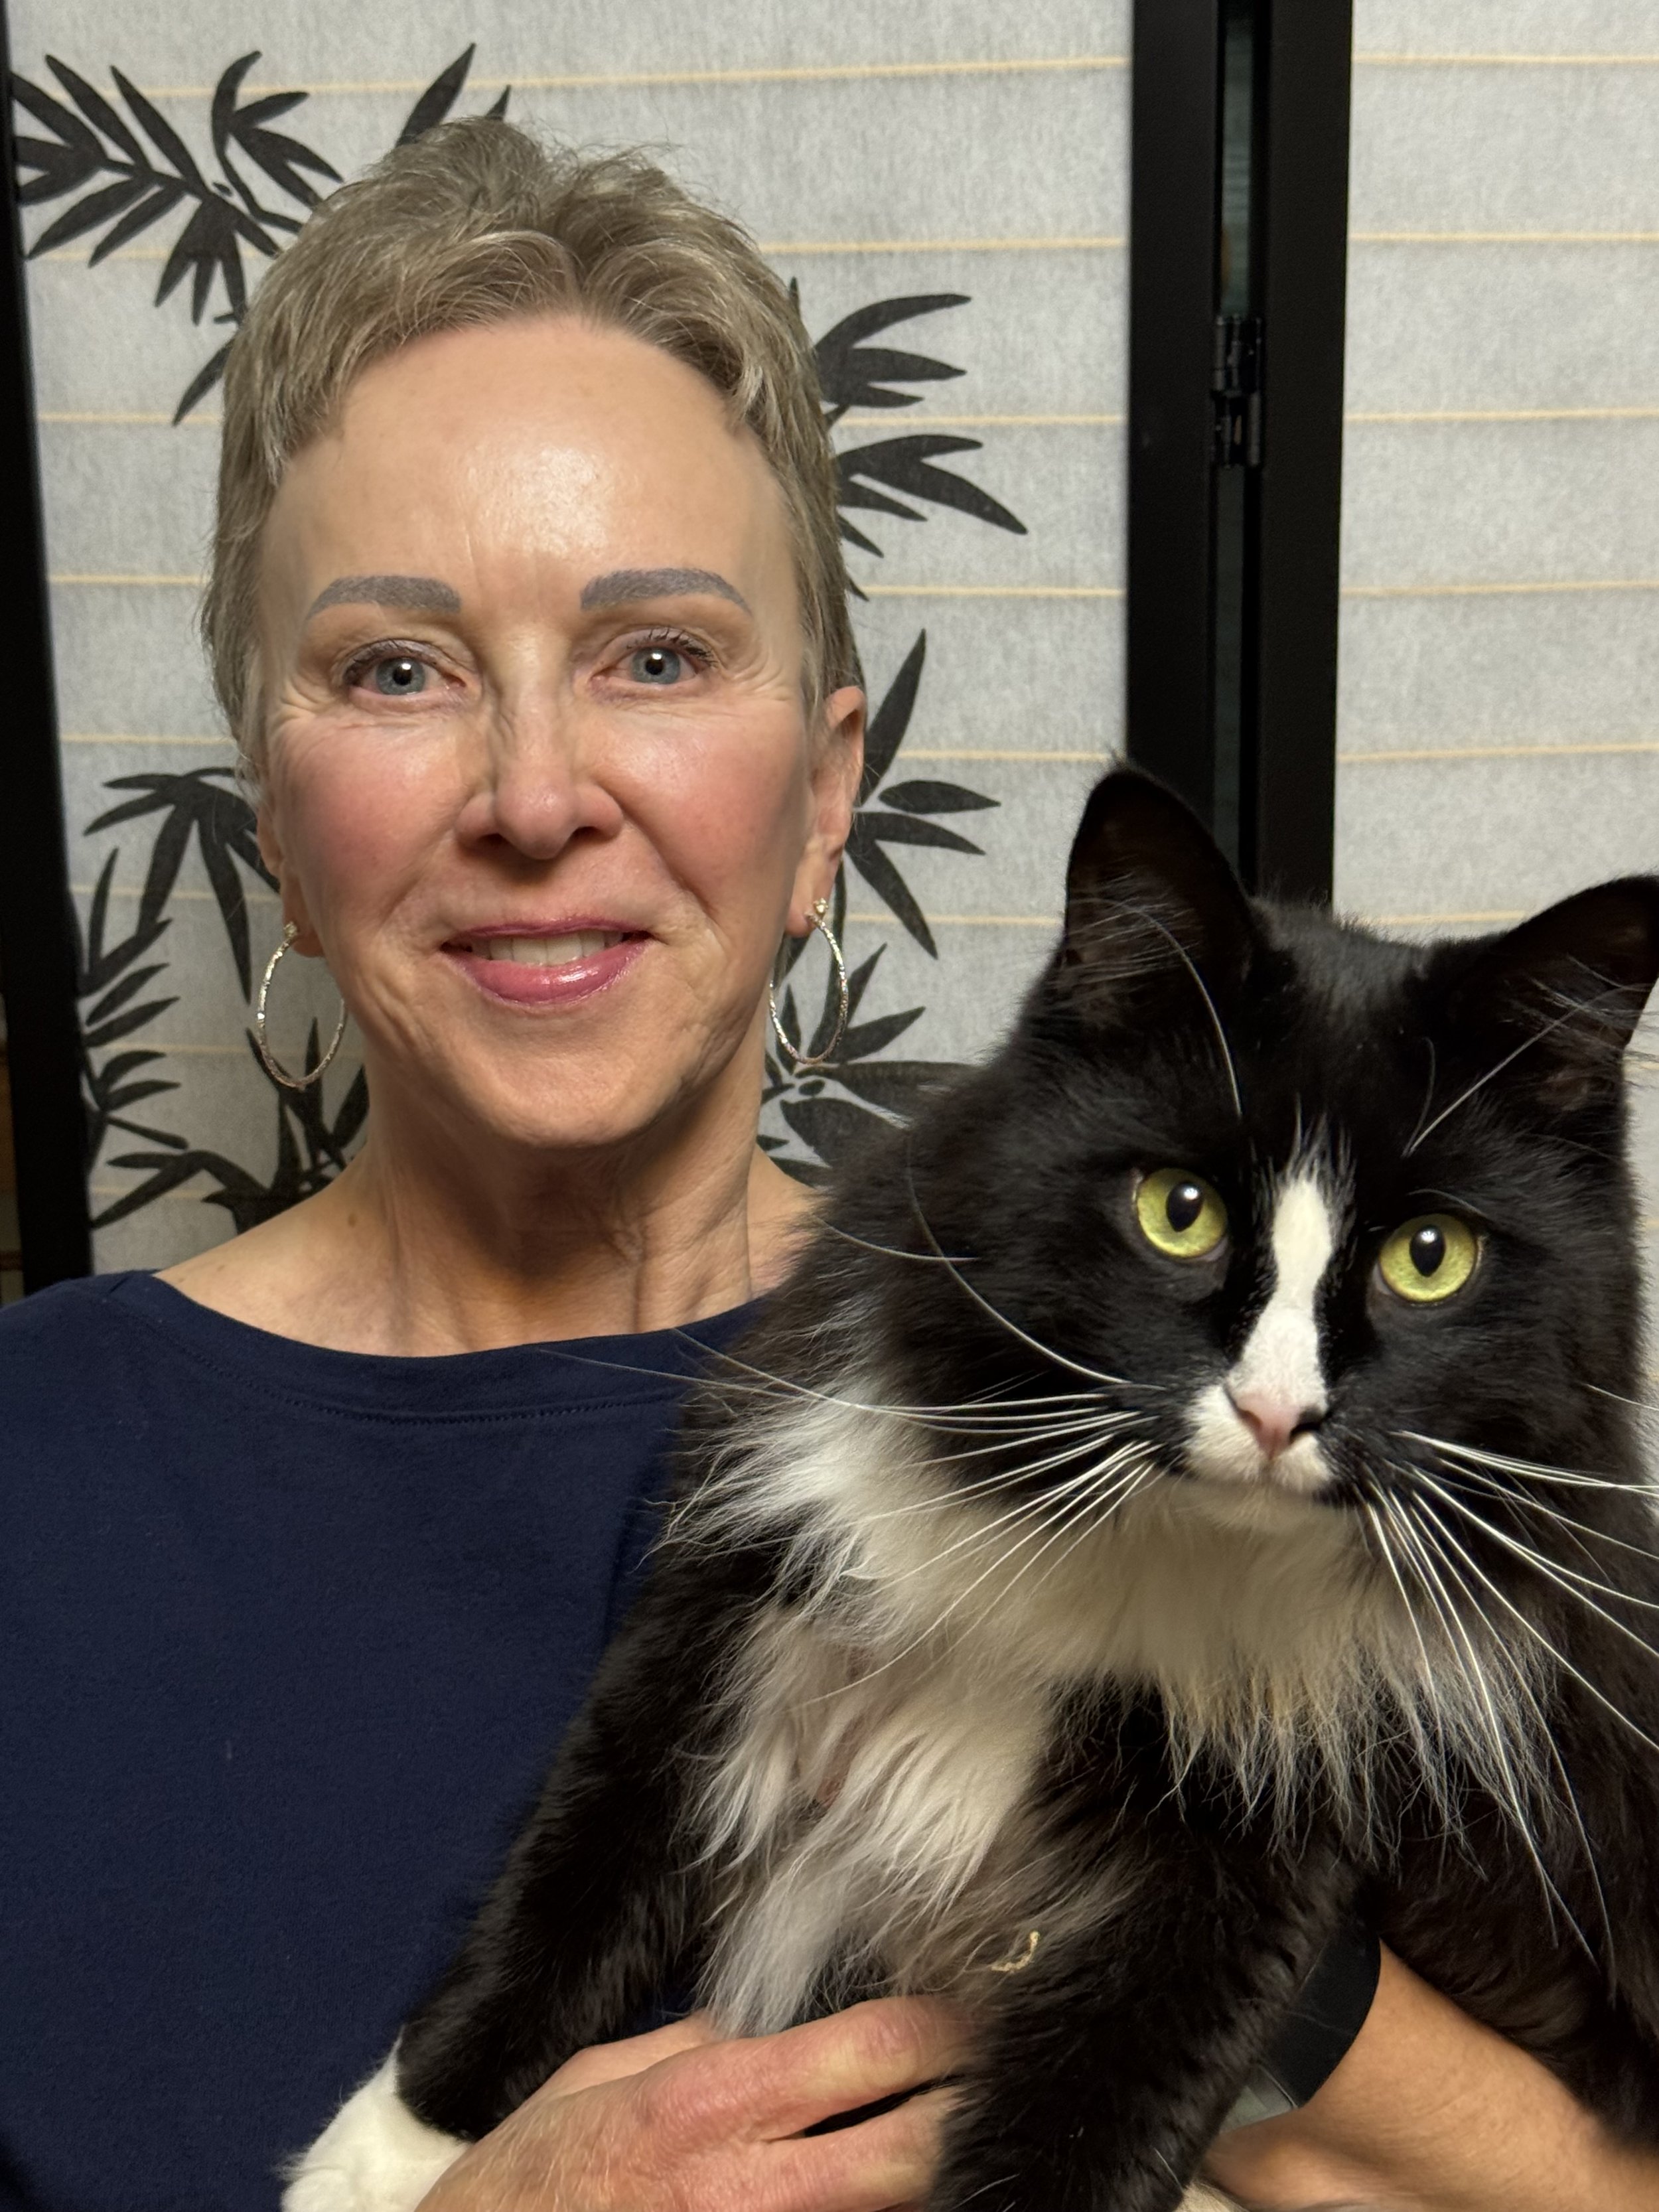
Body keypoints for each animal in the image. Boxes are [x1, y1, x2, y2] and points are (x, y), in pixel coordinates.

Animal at [288, 768, 1659, 2212]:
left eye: (1428, 1255)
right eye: (1176, 1209)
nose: (1276, 1412)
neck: (1132, 1545)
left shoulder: (1259, 1847)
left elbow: (1096, 2125)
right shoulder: (727, 1605)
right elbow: (574, 1873)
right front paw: (387, 2158)